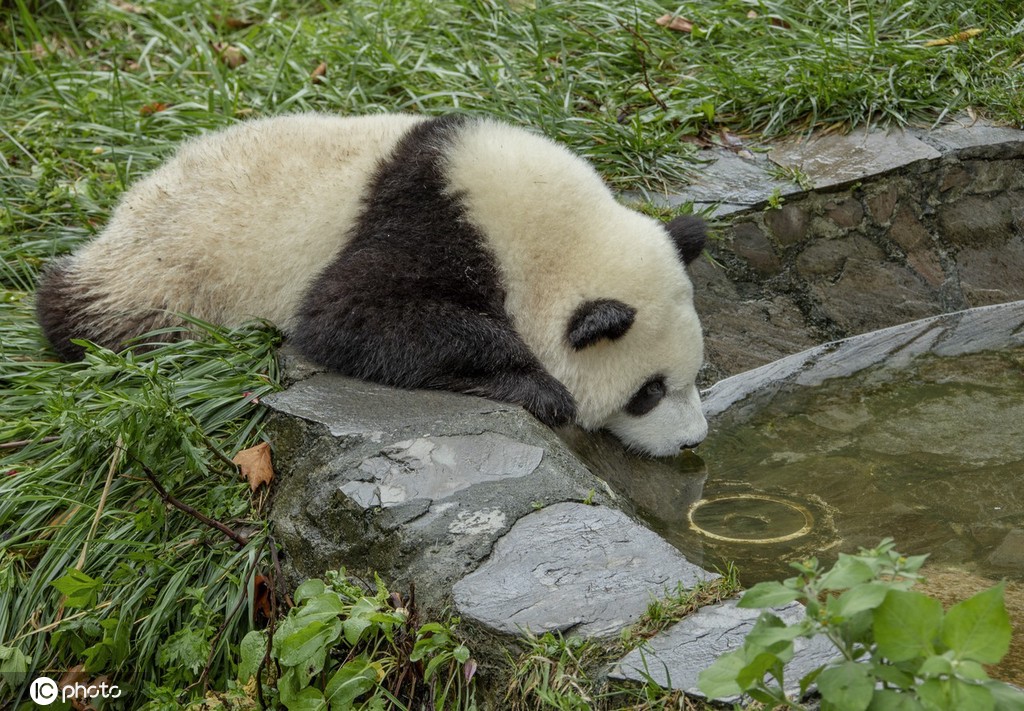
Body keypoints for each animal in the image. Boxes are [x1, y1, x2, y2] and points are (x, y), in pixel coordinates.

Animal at [37, 111, 712, 456]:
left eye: (695, 376)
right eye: (648, 391)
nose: (692, 441)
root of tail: (123, 209)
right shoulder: (429, 220)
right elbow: (346, 315)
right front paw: (539, 387)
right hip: (166, 272)